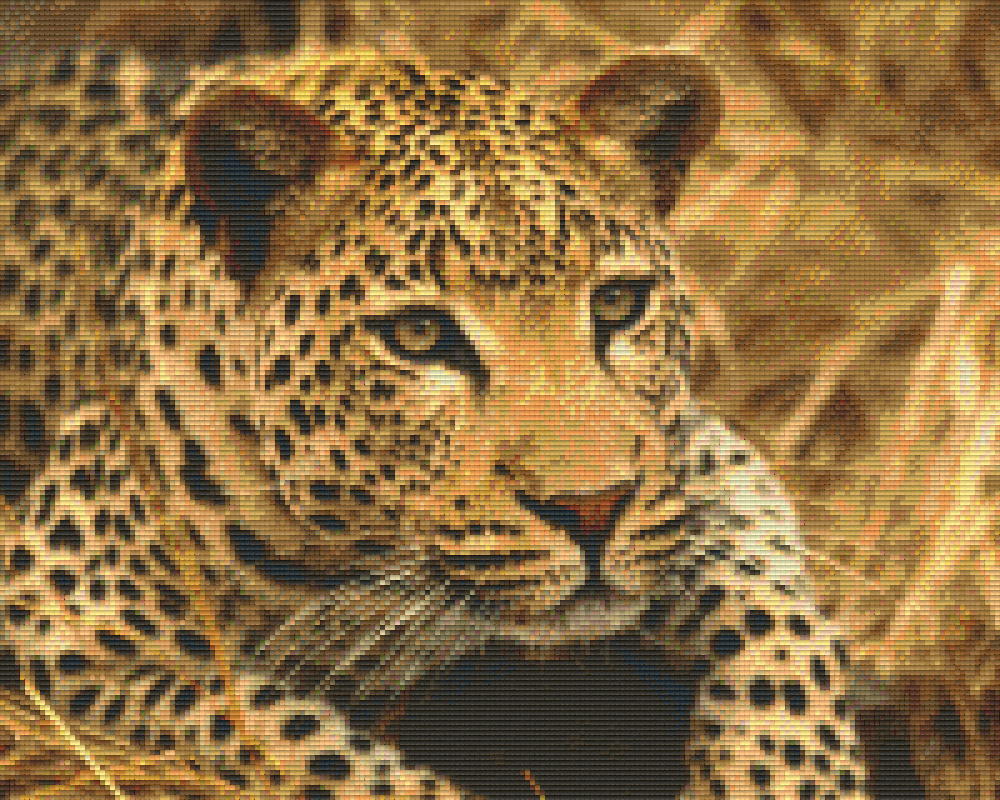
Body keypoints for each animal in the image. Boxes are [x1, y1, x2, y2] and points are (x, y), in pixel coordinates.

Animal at [0, 40, 869, 799]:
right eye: (419, 335)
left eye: (619, 303)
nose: (591, 509)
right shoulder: (57, 622)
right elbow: (293, 743)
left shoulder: (697, 462)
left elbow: (780, 623)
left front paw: (787, 780)